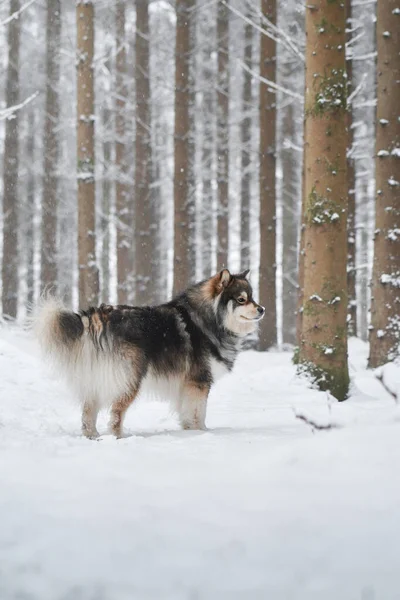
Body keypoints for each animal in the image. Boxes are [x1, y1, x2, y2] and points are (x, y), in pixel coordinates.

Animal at [35, 270, 266, 438]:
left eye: (252, 297)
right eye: (241, 299)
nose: (262, 309)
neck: (208, 319)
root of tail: (98, 316)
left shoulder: (188, 386)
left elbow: (188, 414)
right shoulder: (199, 382)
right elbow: (199, 414)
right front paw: (201, 433)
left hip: (98, 379)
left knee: (88, 414)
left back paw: (93, 437)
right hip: (130, 378)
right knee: (116, 413)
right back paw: (119, 437)